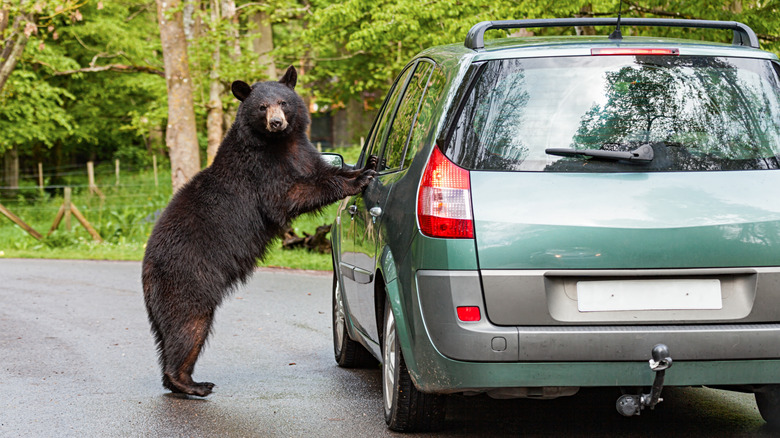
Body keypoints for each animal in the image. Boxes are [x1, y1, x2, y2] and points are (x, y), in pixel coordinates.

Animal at [142, 65, 376, 397]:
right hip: (188, 278)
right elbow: (288, 195)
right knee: (188, 325)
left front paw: (365, 165)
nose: (277, 122)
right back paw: (191, 383)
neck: (279, 144)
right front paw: (359, 179)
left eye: (283, 101)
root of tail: (147, 267)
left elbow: (323, 170)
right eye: (262, 107)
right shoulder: (261, 171)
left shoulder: (303, 153)